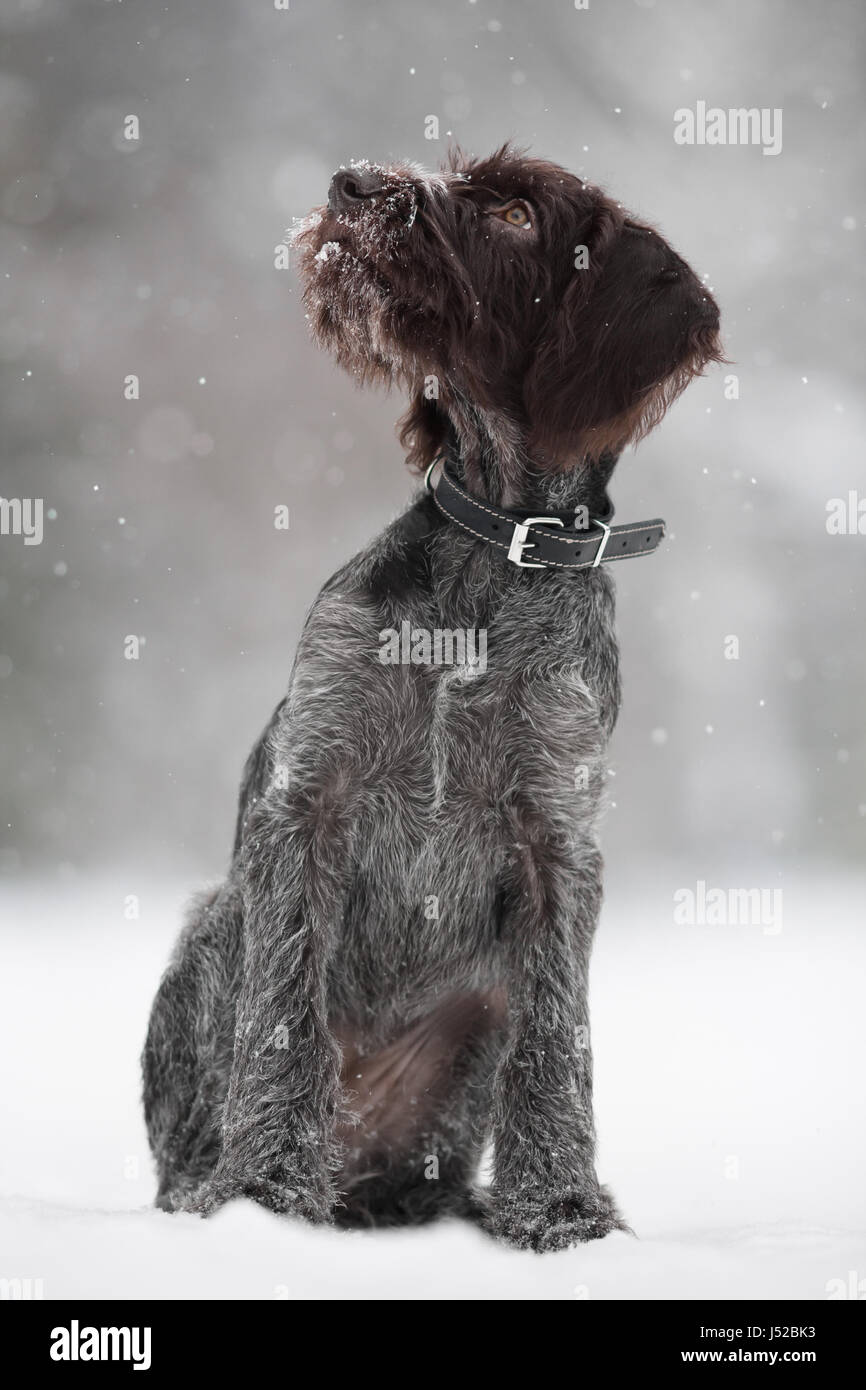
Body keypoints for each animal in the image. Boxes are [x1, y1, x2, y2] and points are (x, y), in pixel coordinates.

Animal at [142, 146, 722, 1256]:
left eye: (514, 212)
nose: (353, 185)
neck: (491, 550)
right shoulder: (303, 804)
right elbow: (281, 1015)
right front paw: (263, 1193)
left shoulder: (557, 841)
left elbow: (557, 1038)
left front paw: (559, 1209)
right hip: (213, 924)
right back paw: (216, 1188)